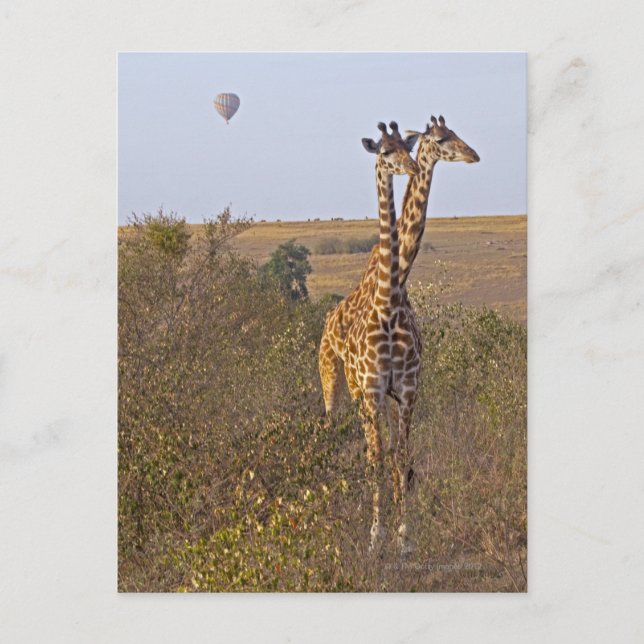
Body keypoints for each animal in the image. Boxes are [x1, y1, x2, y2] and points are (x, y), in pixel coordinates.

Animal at [319, 115, 479, 418]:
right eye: (440, 139)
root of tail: (329, 319)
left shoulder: (404, 387)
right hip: (331, 370)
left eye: (454, 132)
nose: (473, 154)